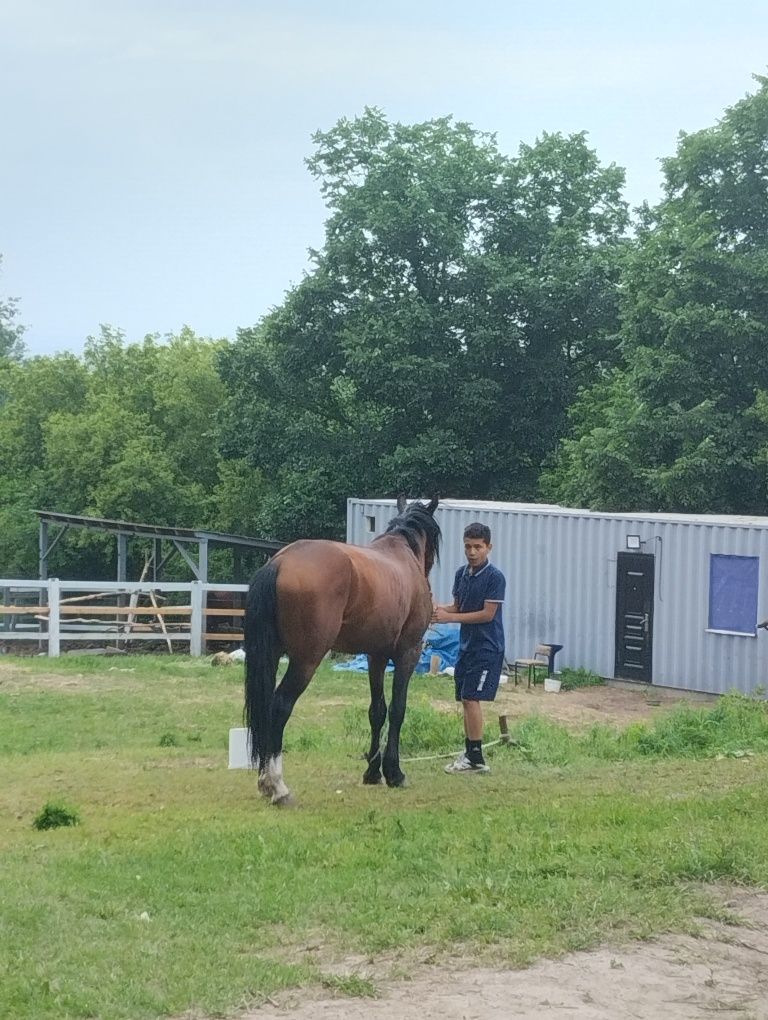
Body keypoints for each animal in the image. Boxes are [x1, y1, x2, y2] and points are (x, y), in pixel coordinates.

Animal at [242, 495, 440, 803]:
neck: (402, 554)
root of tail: (280, 562)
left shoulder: (376, 656)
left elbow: (377, 711)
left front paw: (373, 772)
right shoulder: (408, 652)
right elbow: (398, 709)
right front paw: (394, 773)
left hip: (272, 655)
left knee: (265, 710)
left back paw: (265, 782)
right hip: (306, 661)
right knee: (279, 706)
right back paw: (278, 787)